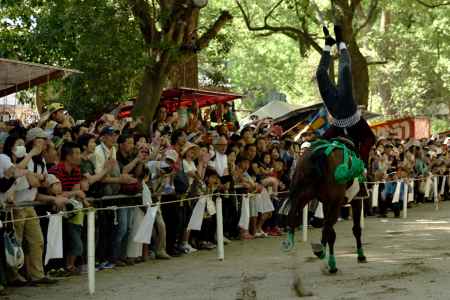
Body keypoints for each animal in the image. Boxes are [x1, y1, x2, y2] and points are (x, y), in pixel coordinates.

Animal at [284, 138, 370, 276]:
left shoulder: (326, 204)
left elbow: (332, 233)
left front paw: (332, 264)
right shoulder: (356, 201)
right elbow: (356, 229)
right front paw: (361, 256)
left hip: (302, 194)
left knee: (293, 214)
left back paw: (290, 241)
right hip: (334, 203)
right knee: (327, 227)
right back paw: (320, 250)